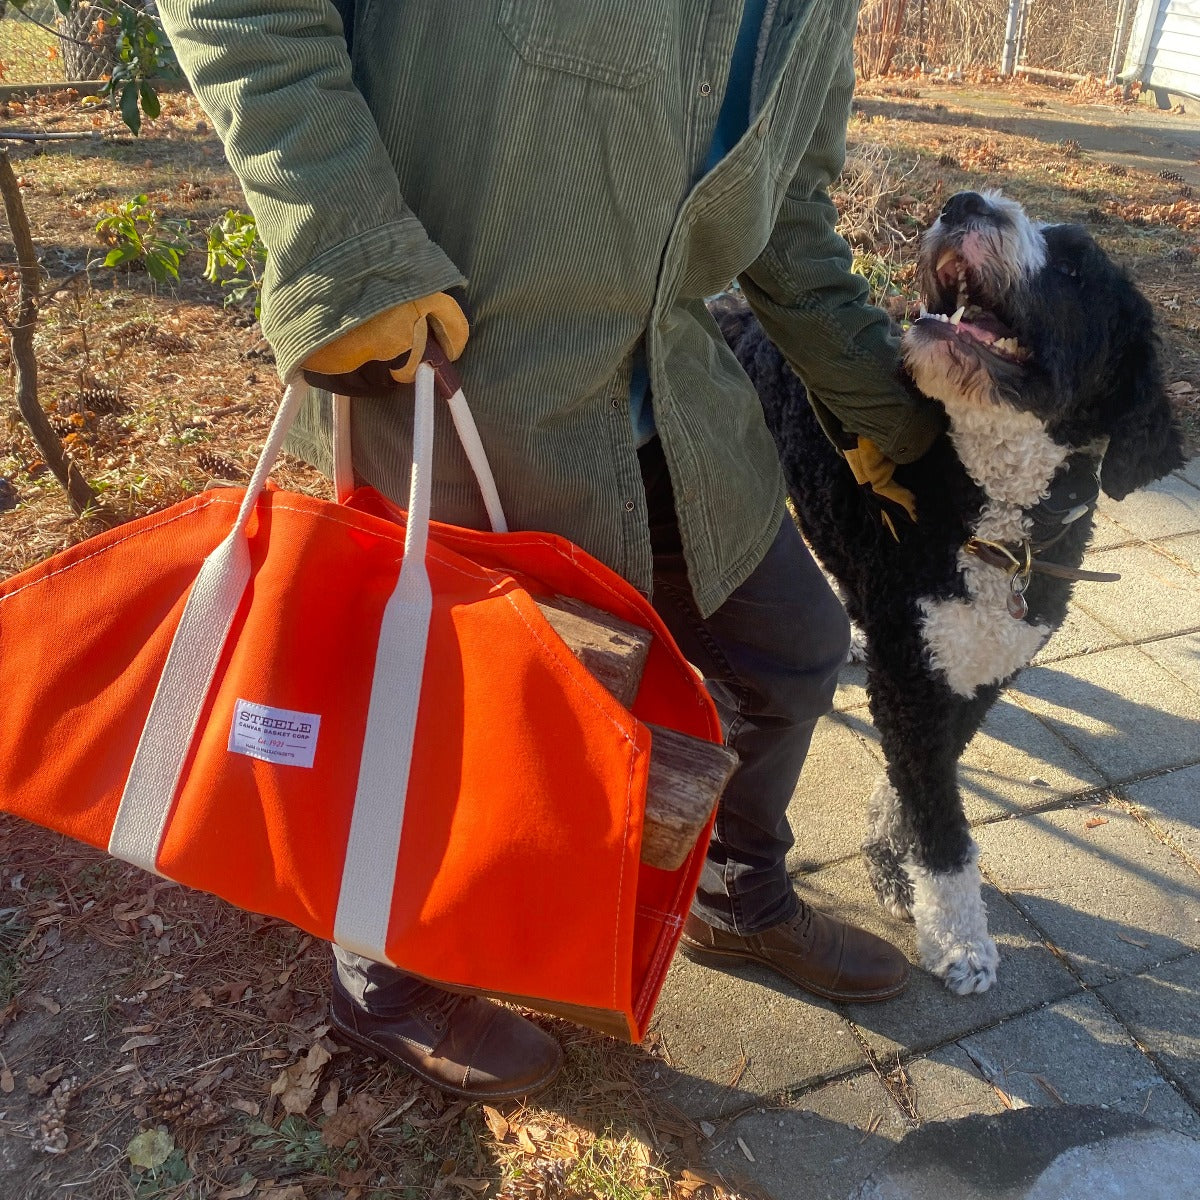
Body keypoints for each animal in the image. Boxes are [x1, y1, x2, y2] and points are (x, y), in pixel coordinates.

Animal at [715, 189, 1185, 993]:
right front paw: (960, 940)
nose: (966, 202)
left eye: (1074, 267)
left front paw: (891, 866)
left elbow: (915, 786)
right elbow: (943, 824)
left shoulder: (976, 671)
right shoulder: (914, 676)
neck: (986, 513)